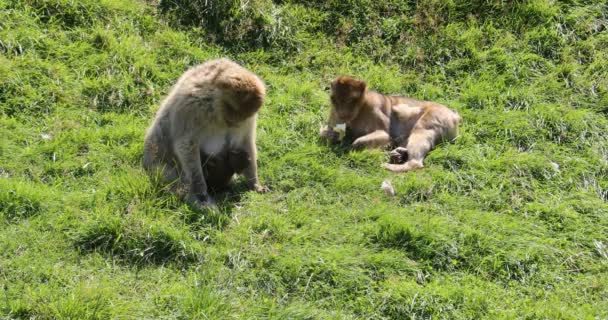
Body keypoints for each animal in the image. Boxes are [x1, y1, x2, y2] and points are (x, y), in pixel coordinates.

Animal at [144, 58, 268, 210]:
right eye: (231, 108)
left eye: (242, 116)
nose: (233, 123)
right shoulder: (192, 107)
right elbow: (186, 145)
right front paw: (200, 190)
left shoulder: (249, 119)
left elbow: (246, 141)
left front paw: (254, 183)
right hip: (158, 166)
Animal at [320, 75, 458, 172]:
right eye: (335, 100)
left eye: (350, 100)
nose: (342, 113)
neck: (360, 108)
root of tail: (454, 115)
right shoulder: (334, 113)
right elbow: (325, 132)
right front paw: (333, 135)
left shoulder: (374, 107)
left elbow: (385, 136)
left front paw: (355, 145)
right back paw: (398, 154)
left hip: (437, 115)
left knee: (421, 129)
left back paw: (402, 163)